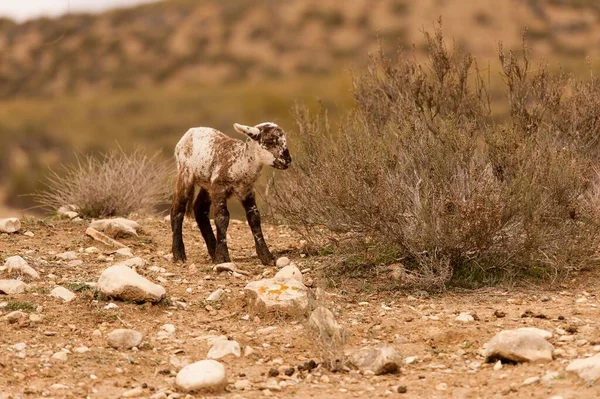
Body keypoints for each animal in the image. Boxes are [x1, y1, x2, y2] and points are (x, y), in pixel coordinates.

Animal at [170, 122, 292, 266]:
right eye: (270, 141)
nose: (288, 160)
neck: (240, 163)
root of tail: (191, 131)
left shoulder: (247, 191)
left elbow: (254, 218)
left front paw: (267, 257)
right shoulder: (220, 188)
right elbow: (222, 217)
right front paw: (222, 258)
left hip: (207, 183)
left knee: (200, 209)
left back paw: (212, 250)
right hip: (185, 173)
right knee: (178, 209)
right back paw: (178, 254)